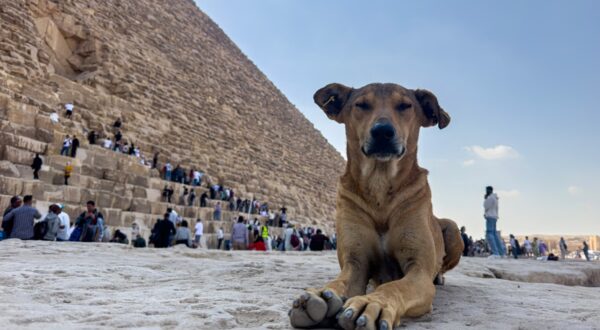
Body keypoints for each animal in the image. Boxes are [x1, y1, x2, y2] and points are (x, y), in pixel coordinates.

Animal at [290, 83, 464, 330]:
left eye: (405, 105)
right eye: (361, 105)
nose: (382, 131)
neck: (380, 186)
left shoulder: (419, 270)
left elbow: (394, 286)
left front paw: (372, 303)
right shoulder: (355, 263)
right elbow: (340, 281)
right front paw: (322, 294)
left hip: (452, 228)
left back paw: (439, 276)